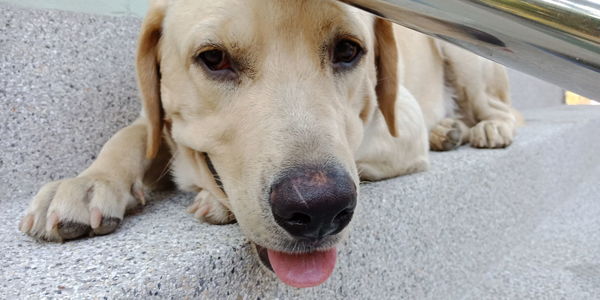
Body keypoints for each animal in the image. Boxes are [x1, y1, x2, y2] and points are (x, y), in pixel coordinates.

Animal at [18, 0, 516, 288]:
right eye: (213, 58)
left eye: (348, 51)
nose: (318, 210)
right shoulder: (155, 119)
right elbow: (133, 134)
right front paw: (85, 183)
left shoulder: (400, 120)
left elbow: (358, 139)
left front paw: (214, 201)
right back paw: (447, 130)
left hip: (467, 52)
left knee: (503, 109)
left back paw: (487, 129)